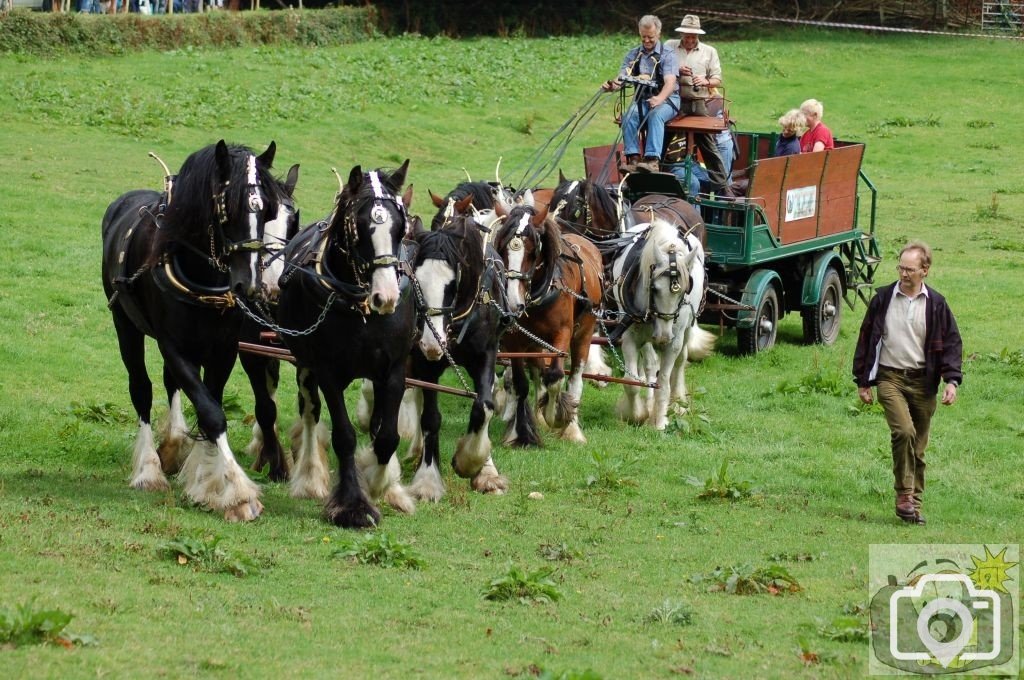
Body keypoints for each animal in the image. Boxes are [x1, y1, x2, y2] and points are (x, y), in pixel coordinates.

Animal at [101, 138, 294, 520]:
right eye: (228, 209)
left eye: (267, 211)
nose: (251, 285)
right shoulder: (174, 346)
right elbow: (211, 413)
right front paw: (237, 492)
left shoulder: (224, 349)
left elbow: (211, 405)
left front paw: (205, 476)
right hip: (125, 325)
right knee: (141, 389)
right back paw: (149, 468)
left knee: (169, 384)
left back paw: (174, 446)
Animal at [276, 161, 415, 528]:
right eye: (361, 228)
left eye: (401, 228)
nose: (386, 297)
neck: (359, 307)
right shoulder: (327, 372)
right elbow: (344, 436)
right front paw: (353, 505)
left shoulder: (394, 370)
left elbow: (387, 437)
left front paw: (380, 483)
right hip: (305, 366)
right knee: (310, 412)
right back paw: (310, 477)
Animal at [399, 201, 512, 499]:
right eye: (417, 281)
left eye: (454, 282)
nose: (432, 343)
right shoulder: (425, 363)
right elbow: (430, 418)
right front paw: (427, 479)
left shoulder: (485, 355)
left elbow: (484, 406)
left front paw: (474, 464)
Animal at [493, 201, 602, 446]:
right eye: (502, 249)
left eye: (533, 252)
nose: (513, 304)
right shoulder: (515, 342)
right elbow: (521, 383)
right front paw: (521, 433)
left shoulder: (561, 335)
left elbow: (555, 377)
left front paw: (556, 416)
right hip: (535, 344)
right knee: (537, 372)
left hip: (583, 334)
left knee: (575, 380)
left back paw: (572, 429)